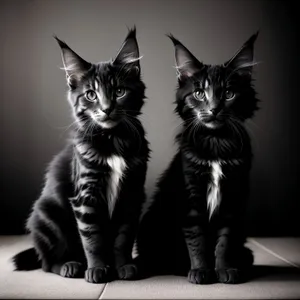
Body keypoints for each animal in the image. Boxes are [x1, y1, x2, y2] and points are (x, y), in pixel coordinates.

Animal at [11, 28, 150, 284]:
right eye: (91, 95)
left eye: (119, 91)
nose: (106, 109)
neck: (112, 139)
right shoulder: (86, 194)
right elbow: (92, 237)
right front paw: (97, 269)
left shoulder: (132, 193)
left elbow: (124, 237)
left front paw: (124, 266)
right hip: (49, 215)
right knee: (47, 263)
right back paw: (70, 266)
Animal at [137, 32, 258, 284]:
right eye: (199, 93)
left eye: (229, 94)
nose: (213, 109)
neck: (216, 142)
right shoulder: (190, 199)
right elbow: (197, 240)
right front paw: (201, 271)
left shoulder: (232, 200)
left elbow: (224, 242)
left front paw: (225, 269)